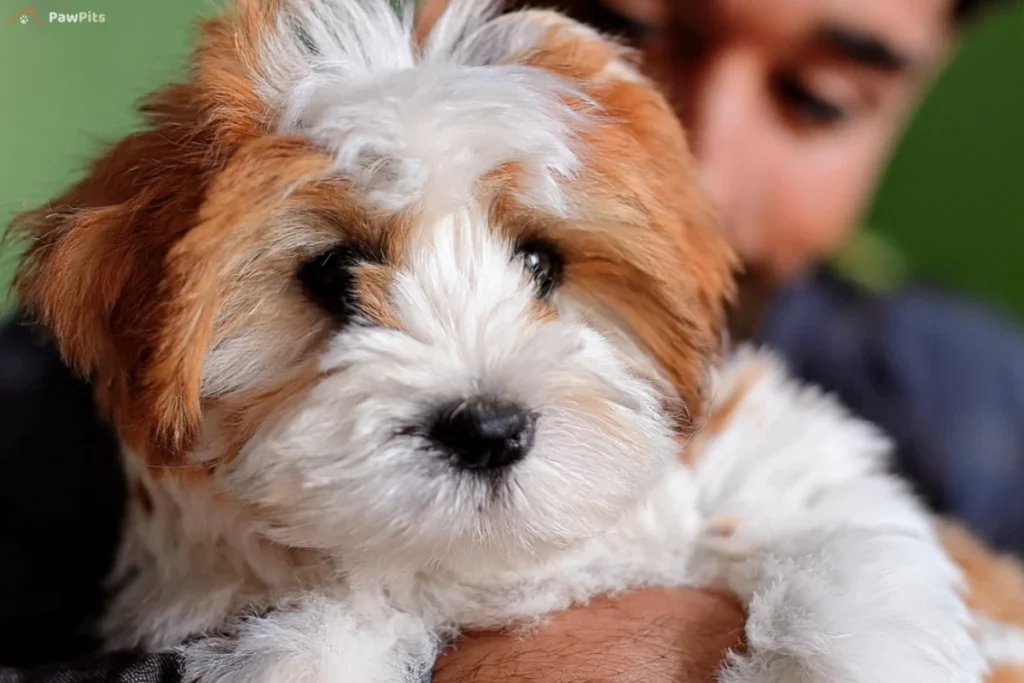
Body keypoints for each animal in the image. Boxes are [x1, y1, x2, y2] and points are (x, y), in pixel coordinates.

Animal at [9, 1, 991, 683]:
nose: (487, 428)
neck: (498, 563)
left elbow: (846, 544)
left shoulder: (777, 460)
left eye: (542, 263)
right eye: (335, 274)